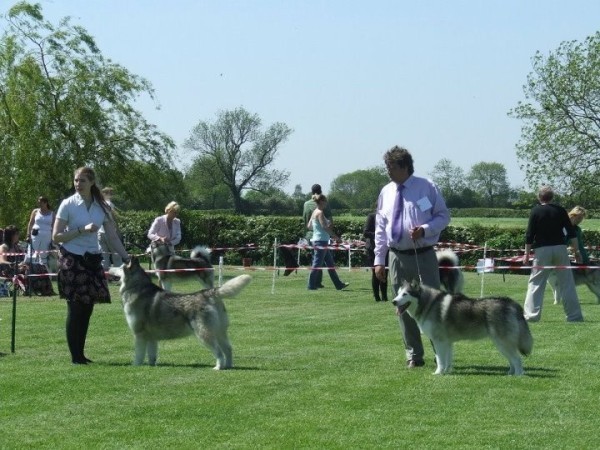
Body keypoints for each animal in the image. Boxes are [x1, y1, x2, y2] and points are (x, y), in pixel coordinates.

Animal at [117, 257, 251, 369]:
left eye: (119, 267)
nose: (111, 268)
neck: (136, 287)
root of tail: (207, 292)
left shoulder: (139, 334)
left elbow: (138, 355)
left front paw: (135, 366)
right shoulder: (151, 337)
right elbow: (152, 355)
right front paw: (152, 366)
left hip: (204, 333)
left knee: (218, 352)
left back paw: (218, 367)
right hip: (219, 332)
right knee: (228, 349)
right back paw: (228, 366)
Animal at [392, 280, 533, 376]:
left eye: (405, 294)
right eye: (398, 294)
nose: (393, 301)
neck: (428, 303)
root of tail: (511, 303)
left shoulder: (438, 341)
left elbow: (440, 359)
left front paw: (438, 373)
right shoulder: (447, 342)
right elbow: (447, 360)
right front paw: (447, 371)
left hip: (502, 342)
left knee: (517, 359)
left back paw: (518, 375)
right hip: (501, 344)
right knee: (512, 360)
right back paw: (510, 373)